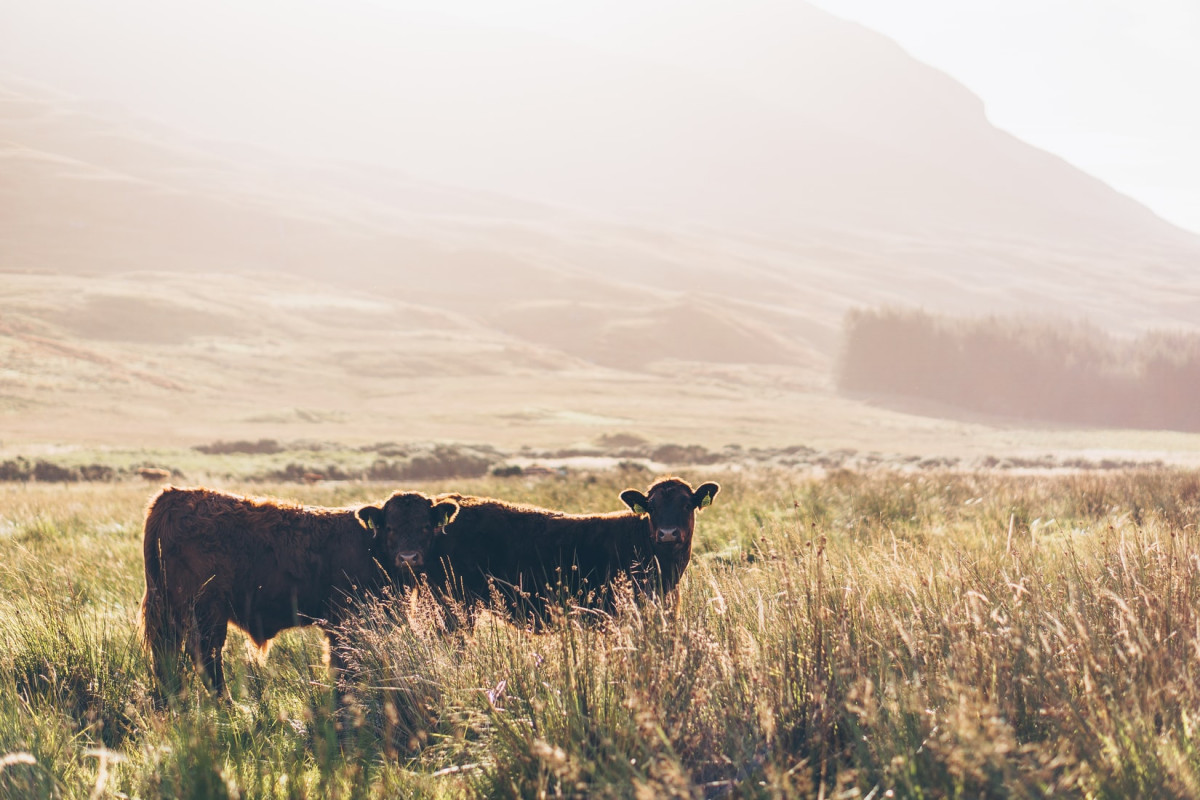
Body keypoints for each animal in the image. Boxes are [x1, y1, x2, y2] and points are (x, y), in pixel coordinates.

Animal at [138, 486, 459, 695]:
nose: (408, 557)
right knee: (206, 658)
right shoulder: (345, 623)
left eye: (426, 525)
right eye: (390, 527)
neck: (370, 546)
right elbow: (345, 666)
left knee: (167, 658)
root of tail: (174, 496)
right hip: (205, 612)